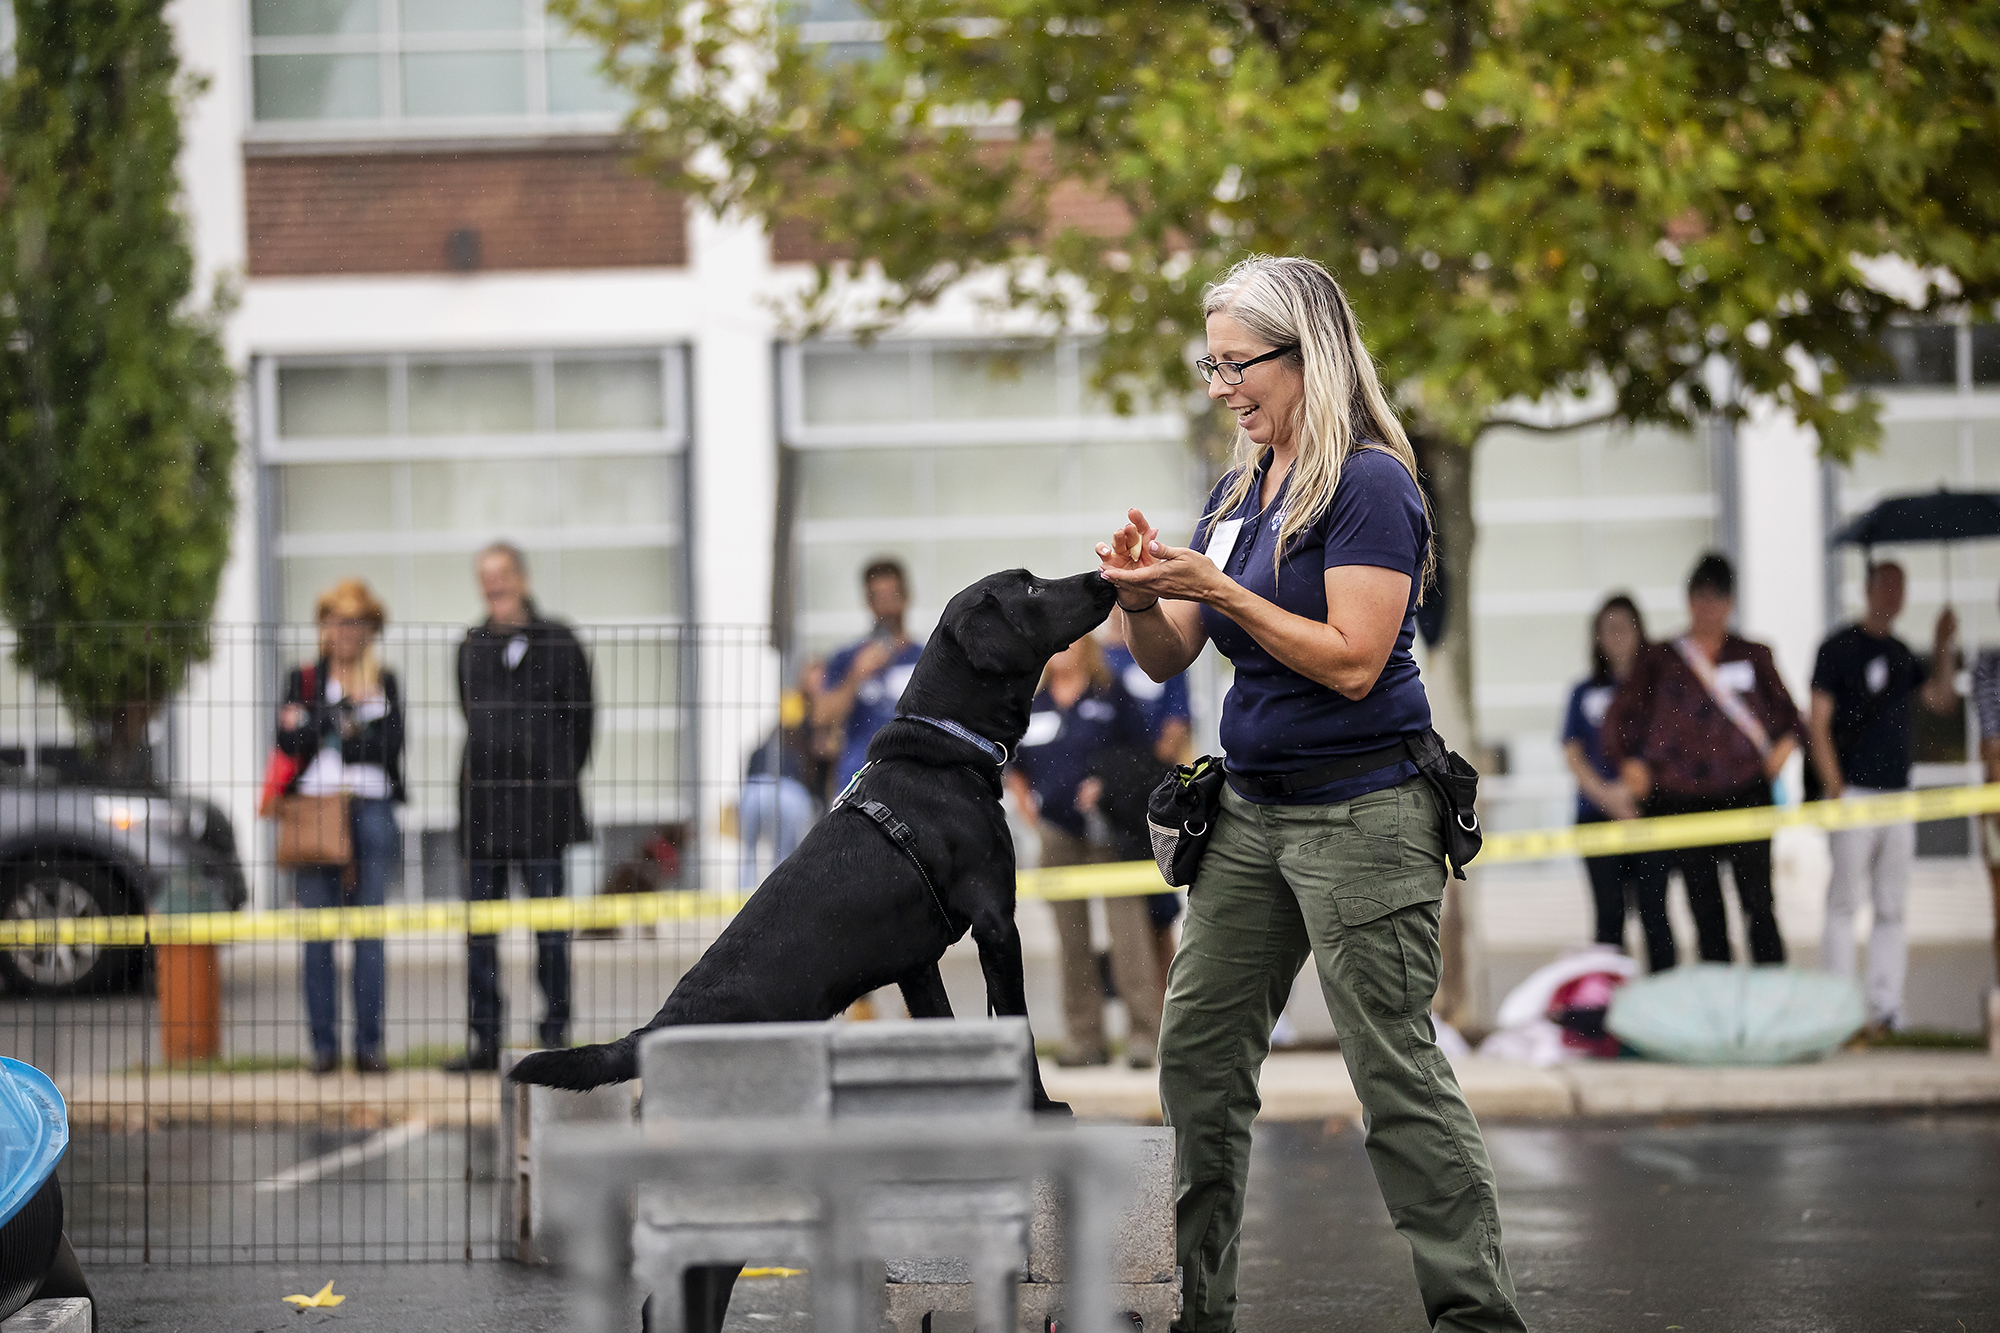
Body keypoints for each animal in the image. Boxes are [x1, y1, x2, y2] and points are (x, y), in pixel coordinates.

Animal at [508, 564, 1120, 1104]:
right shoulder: (996, 921)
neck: (944, 754)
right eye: (1032, 587)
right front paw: (1042, 1106)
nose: (1102, 577)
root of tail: (654, 1031)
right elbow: (1020, 1025)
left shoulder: (918, 965)